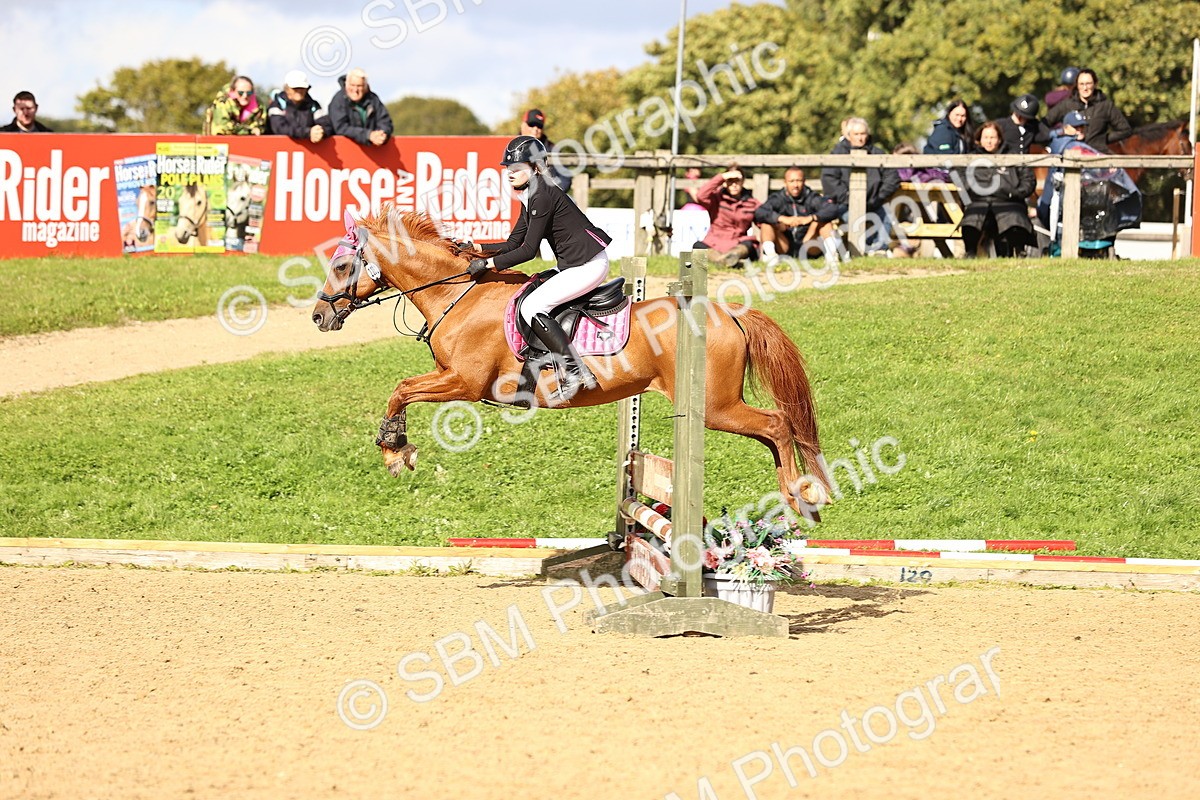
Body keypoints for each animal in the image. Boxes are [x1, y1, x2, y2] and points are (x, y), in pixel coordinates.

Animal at [311, 207, 833, 516]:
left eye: (342, 267)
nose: (319, 315)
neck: (458, 295)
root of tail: (730, 313)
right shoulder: (448, 376)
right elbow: (402, 389)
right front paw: (397, 450)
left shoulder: (464, 383)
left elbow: (401, 389)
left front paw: (395, 452)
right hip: (718, 406)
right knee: (774, 433)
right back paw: (796, 495)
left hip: (715, 406)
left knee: (777, 424)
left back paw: (803, 494)